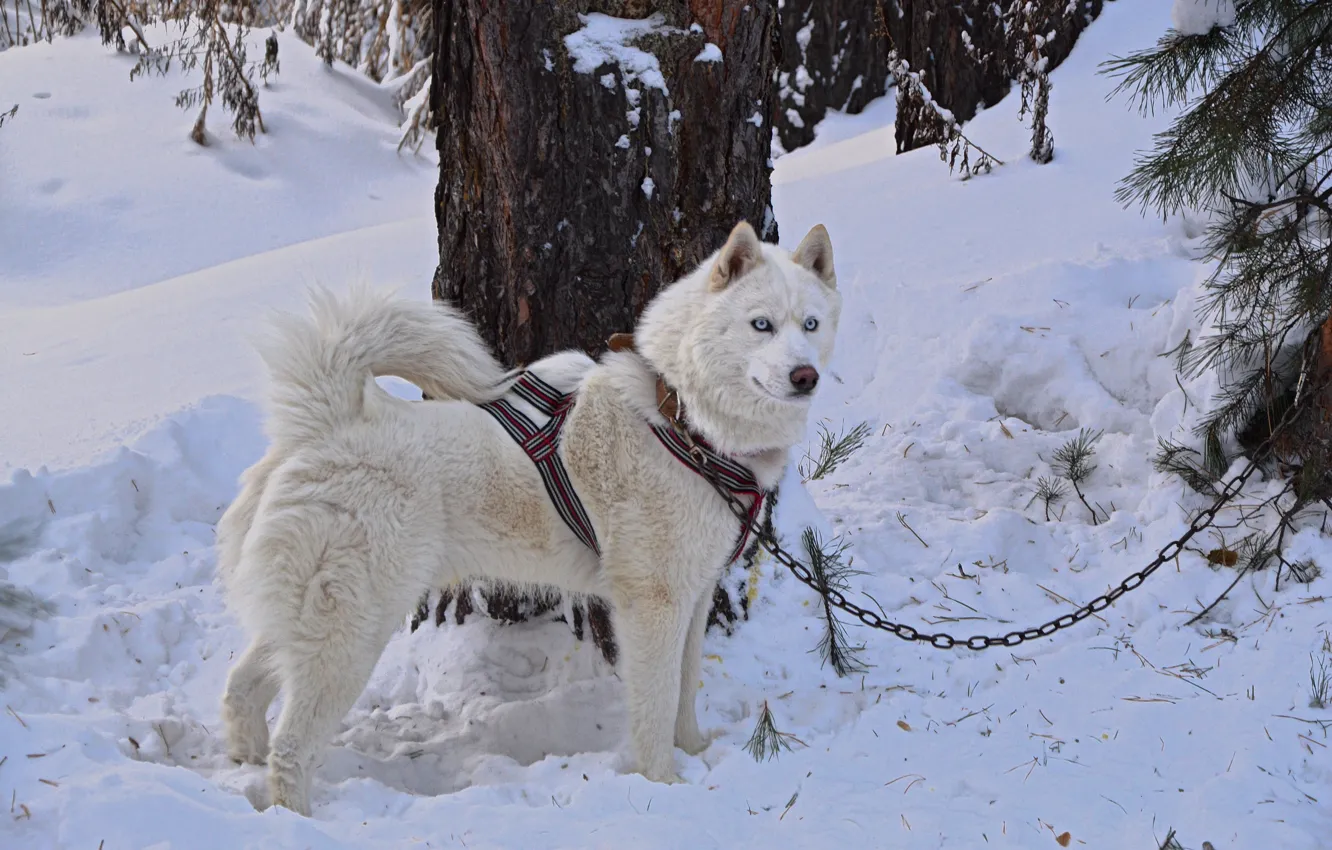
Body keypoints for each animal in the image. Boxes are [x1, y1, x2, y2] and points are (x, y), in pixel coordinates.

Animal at [218, 221, 841, 820]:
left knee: (241, 687)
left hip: (311, 620)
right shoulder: (653, 606)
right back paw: (295, 818)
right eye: (761, 325)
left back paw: (242, 762)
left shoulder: (694, 595)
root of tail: (329, 421)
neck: (681, 417)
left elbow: (686, 691)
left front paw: (694, 753)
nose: (805, 375)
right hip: (351, 635)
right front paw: (664, 784)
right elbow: (657, 704)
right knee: (291, 747)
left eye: (810, 324)